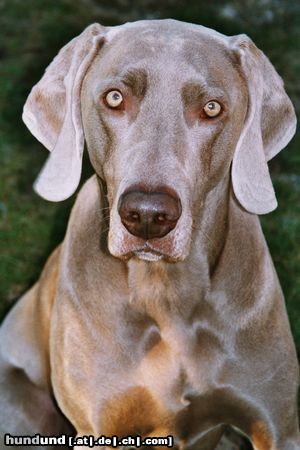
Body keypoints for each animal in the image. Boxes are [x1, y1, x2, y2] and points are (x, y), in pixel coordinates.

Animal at [0, 18, 298, 450]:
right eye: (114, 98)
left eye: (212, 108)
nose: (146, 215)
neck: (167, 292)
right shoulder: (99, 427)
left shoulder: (278, 426)